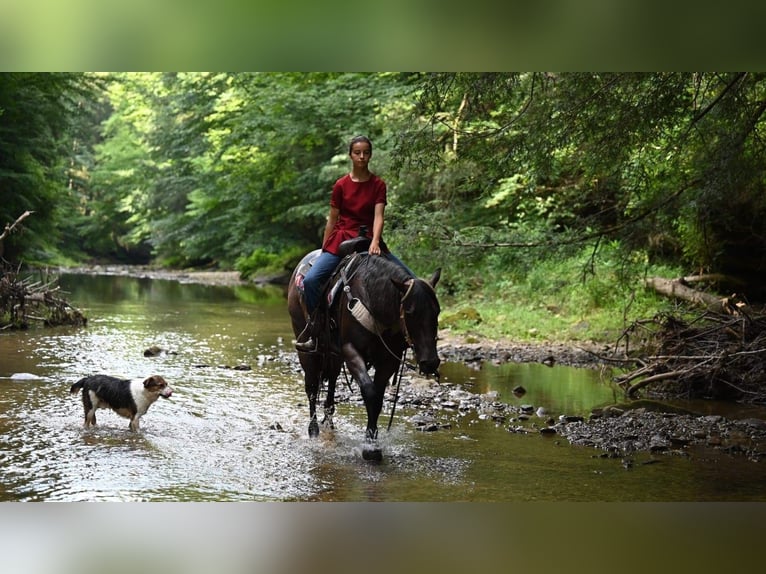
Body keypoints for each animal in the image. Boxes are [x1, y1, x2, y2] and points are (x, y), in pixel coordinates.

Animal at [290, 250, 444, 462]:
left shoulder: (389, 359)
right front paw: (370, 448)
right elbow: (369, 392)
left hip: (333, 356)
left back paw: (330, 424)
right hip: (307, 346)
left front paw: (372, 440)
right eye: (410, 311)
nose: (430, 362)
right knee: (312, 387)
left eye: (437, 311)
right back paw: (313, 431)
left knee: (331, 385)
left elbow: (377, 397)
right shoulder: (351, 351)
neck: (373, 299)